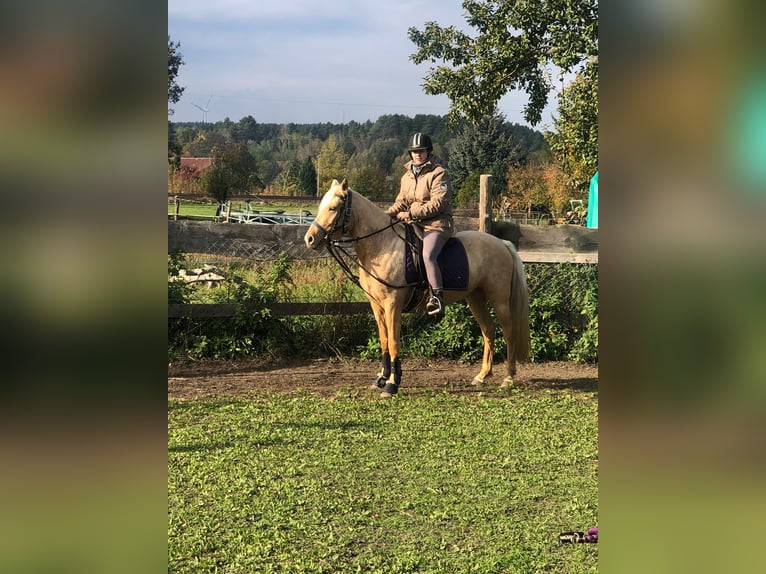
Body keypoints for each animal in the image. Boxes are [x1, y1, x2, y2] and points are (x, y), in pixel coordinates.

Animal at [304, 180, 532, 400]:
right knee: (488, 330)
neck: (381, 245)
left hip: (499, 299)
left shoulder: (392, 305)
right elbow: (384, 341)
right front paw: (382, 377)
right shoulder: (376, 305)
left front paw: (392, 384)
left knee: (508, 331)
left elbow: (394, 342)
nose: (310, 239)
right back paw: (482, 375)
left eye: (333, 208)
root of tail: (502, 244)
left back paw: (508, 377)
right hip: (475, 298)